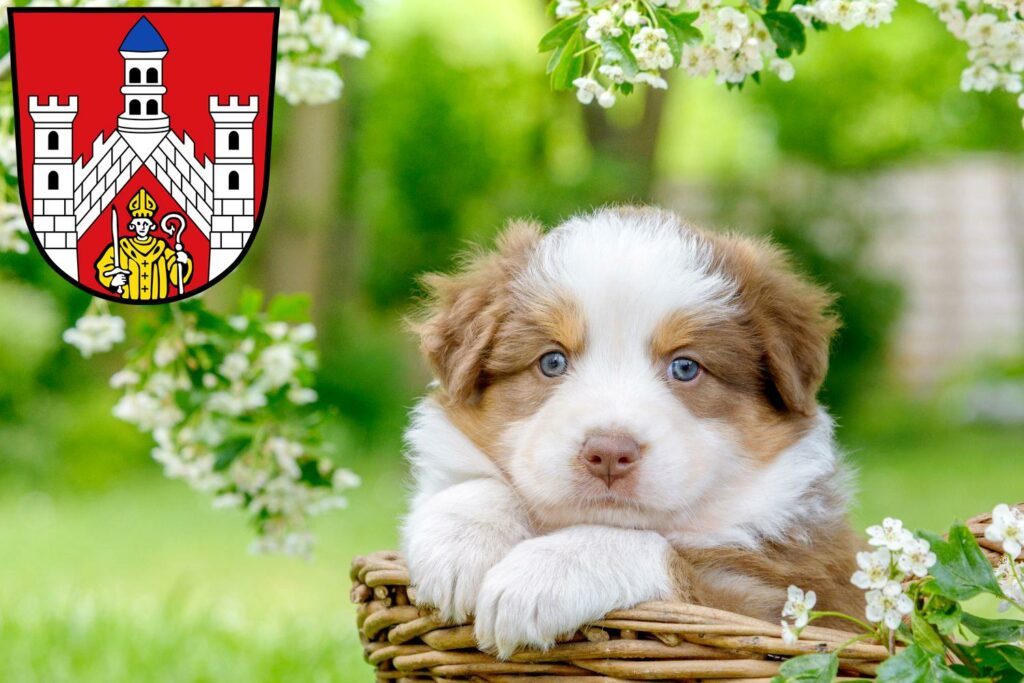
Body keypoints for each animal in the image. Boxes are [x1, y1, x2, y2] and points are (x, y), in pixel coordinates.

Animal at [399, 206, 864, 655]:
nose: (608, 453)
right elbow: (481, 482)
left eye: (685, 367)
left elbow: (665, 551)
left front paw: (539, 574)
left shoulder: (787, 598)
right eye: (552, 361)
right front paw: (459, 543)